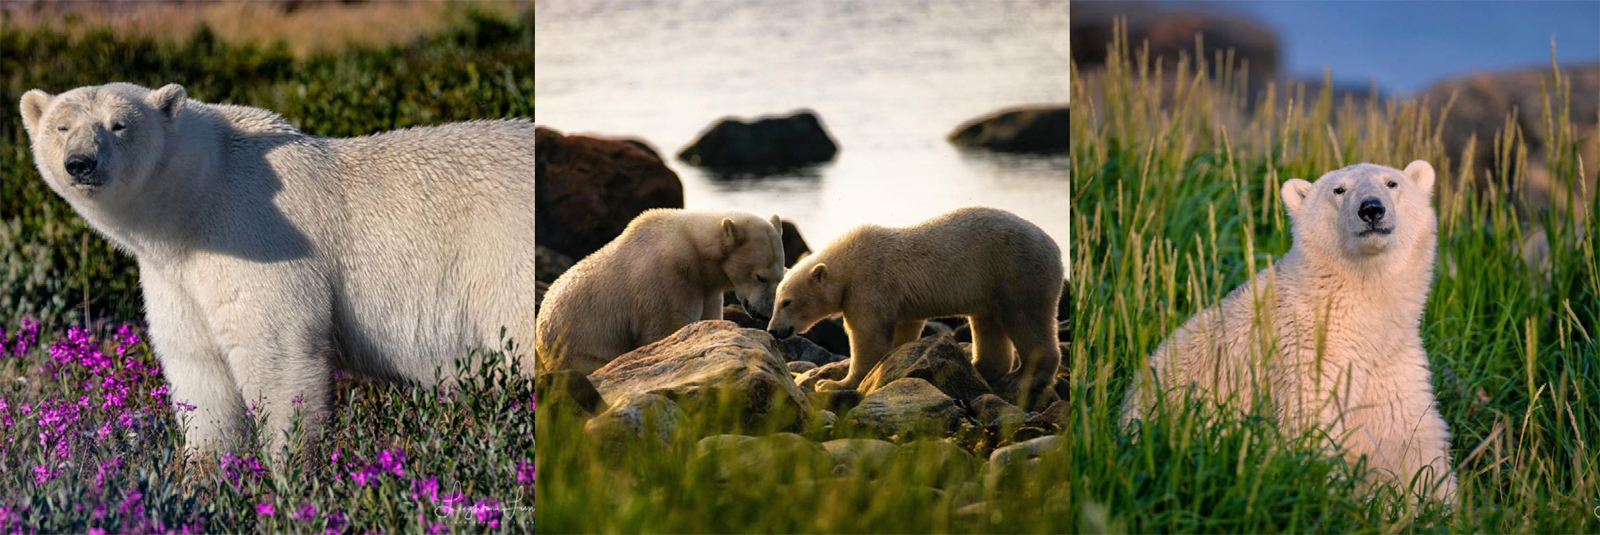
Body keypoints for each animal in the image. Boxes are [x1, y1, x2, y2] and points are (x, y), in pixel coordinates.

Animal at [19, 83, 536, 457]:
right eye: (62, 126)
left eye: (119, 125)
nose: (81, 163)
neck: (198, 196)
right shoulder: (173, 274)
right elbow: (198, 370)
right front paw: (204, 475)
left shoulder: (255, 236)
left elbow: (277, 353)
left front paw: (292, 472)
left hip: (506, 254)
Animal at [535, 209, 787, 374]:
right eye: (760, 277)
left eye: (780, 277)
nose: (765, 313)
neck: (693, 254)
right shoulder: (667, 280)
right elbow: (667, 329)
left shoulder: (707, 287)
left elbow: (710, 319)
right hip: (578, 347)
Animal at [763, 206, 1064, 407]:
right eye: (777, 300)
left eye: (786, 302)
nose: (773, 330)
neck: (847, 262)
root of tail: (1056, 249)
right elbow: (904, 328)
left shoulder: (868, 285)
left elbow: (867, 336)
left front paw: (834, 383)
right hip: (991, 285)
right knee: (987, 324)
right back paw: (981, 367)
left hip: (1016, 272)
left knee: (1025, 320)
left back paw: (1023, 378)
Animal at [1120, 161, 1457, 501]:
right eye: (1339, 189)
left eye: (1391, 183)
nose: (1371, 209)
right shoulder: (1308, 356)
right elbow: (1309, 433)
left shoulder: (1393, 361)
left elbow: (1409, 440)